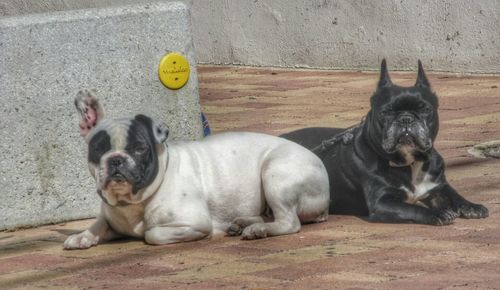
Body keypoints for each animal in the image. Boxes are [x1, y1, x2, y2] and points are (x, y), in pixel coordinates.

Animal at [63, 90, 328, 249]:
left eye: (139, 149)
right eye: (98, 149)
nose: (116, 159)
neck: (133, 202)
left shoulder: (193, 222)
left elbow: (152, 234)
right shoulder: (109, 216)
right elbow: (98, 224)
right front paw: (82, 236)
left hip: (274, 174)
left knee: (288, 222)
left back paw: (258, 229)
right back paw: (243, 223)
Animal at [284, 60, 490, 225]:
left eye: (425, 110)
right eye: (386, 112)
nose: (406, 118)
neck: (411, 162)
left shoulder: (437, 184)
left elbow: (453, 194)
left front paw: (471, 206)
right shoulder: (382, 203)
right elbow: (414, 208)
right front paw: (437, 214)